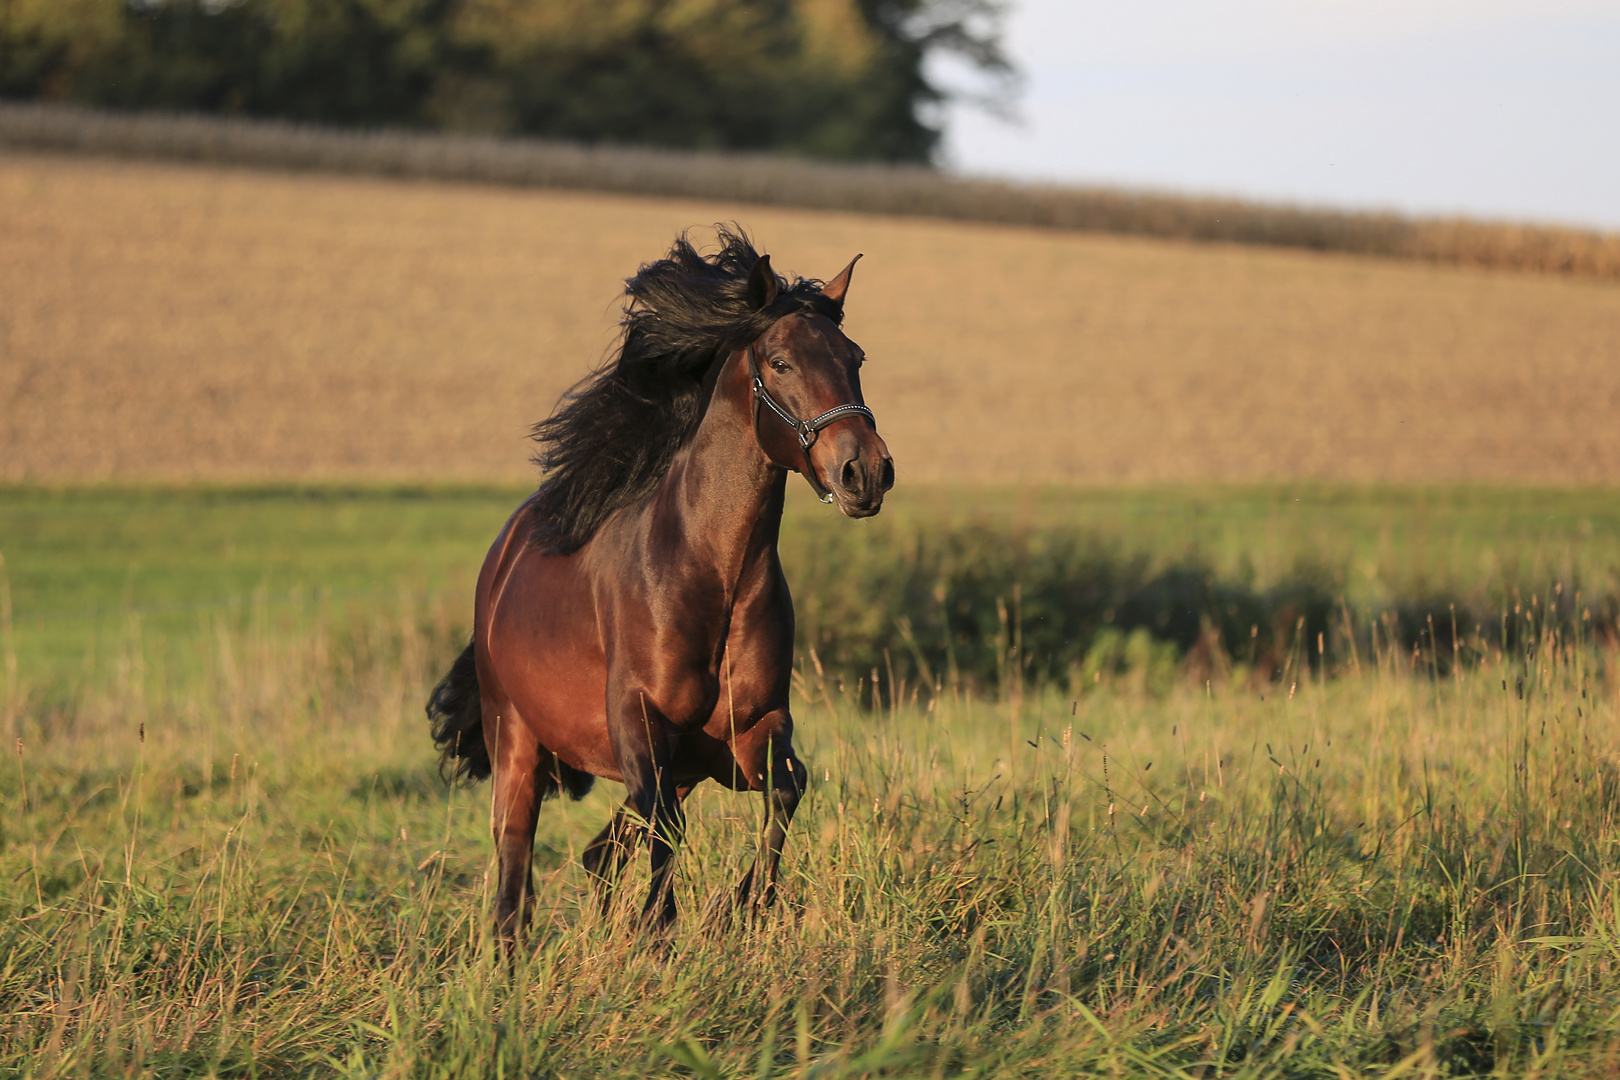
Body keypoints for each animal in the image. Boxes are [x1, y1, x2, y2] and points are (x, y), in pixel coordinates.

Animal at [424, 226, 894, 939]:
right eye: (780, 361)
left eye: (855, 357)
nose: (864, 472)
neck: (714, 574)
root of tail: (502, 560)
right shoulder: (638, 722)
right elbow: (665, 830)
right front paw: (660, 925)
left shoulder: (747, 732)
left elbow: (787, 789)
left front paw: (742, 907)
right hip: (517, 741)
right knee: (515, 873)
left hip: (676, 765)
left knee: (600, 851)